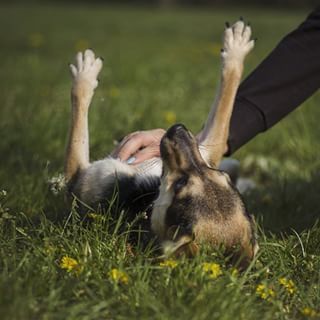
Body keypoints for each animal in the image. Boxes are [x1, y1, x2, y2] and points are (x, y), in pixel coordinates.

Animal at [65, 19, 258, 264]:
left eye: (180, 185)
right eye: (219, 175)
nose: (179, 128)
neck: (148, 196)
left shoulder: (78, 176)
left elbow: (78, 109)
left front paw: (85, 73)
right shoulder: (209, 148)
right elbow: (226, 99)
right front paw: (236, 46)